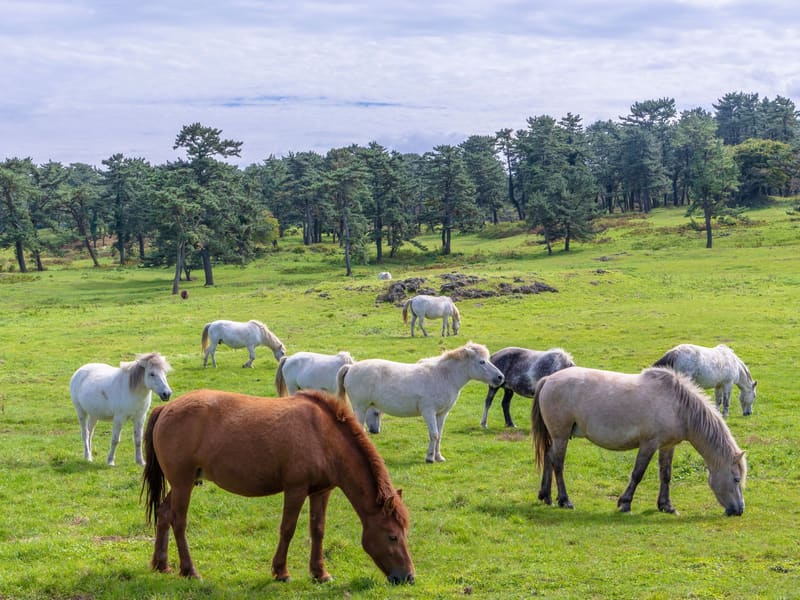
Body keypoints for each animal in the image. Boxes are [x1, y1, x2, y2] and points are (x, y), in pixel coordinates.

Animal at [141, 389, 415, 584]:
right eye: (392, 536)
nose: (408, 577)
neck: (323, 435)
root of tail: (166, 408)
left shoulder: (321, 491)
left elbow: (318, 529)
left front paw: (320, 573)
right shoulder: (295, 489)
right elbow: (288, 529)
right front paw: (281, 571)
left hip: (181, 483)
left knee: (164, 514)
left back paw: (162, 564)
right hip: (183, 483)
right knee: (179, 521)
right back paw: (189, 570)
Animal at [336, 342, 504, 463]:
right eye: (482, 362)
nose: (500, 377)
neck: (443, 376)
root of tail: (351, 367)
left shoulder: (442, 414)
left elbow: (439, 435)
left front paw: (438, 457)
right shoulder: (428, 412)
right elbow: (434, 434)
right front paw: (429, 458)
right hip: (360, 408)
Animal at [532, 366, 746, 516]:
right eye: (736, 479)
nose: (739, 510)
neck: (678, 406)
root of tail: (548, 379)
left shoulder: (667, 446)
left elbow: (665, 475)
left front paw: (666, 506)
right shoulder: (648, 444)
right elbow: (637, 474)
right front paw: (625, 503)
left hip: (557, 437)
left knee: (549, 457)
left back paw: (546, 496)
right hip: (561, 436)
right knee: (558, 464)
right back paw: (564, 500)